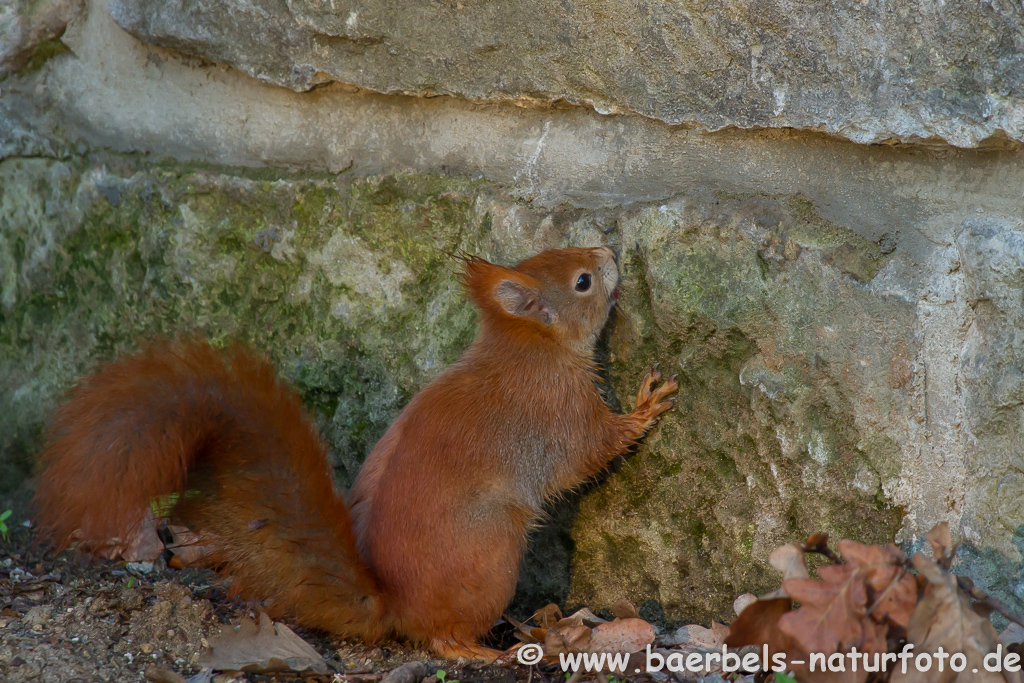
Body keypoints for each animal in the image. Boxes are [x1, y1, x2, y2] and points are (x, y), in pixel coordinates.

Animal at [34, 245, 679, 655]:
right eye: (582, 282)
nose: (608, 249)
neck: (527, 348)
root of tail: (394, 605)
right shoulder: (557, 414)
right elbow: (594, 448)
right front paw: (646, 406)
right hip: (492, 556)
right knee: (440, 642)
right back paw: (488, 651)